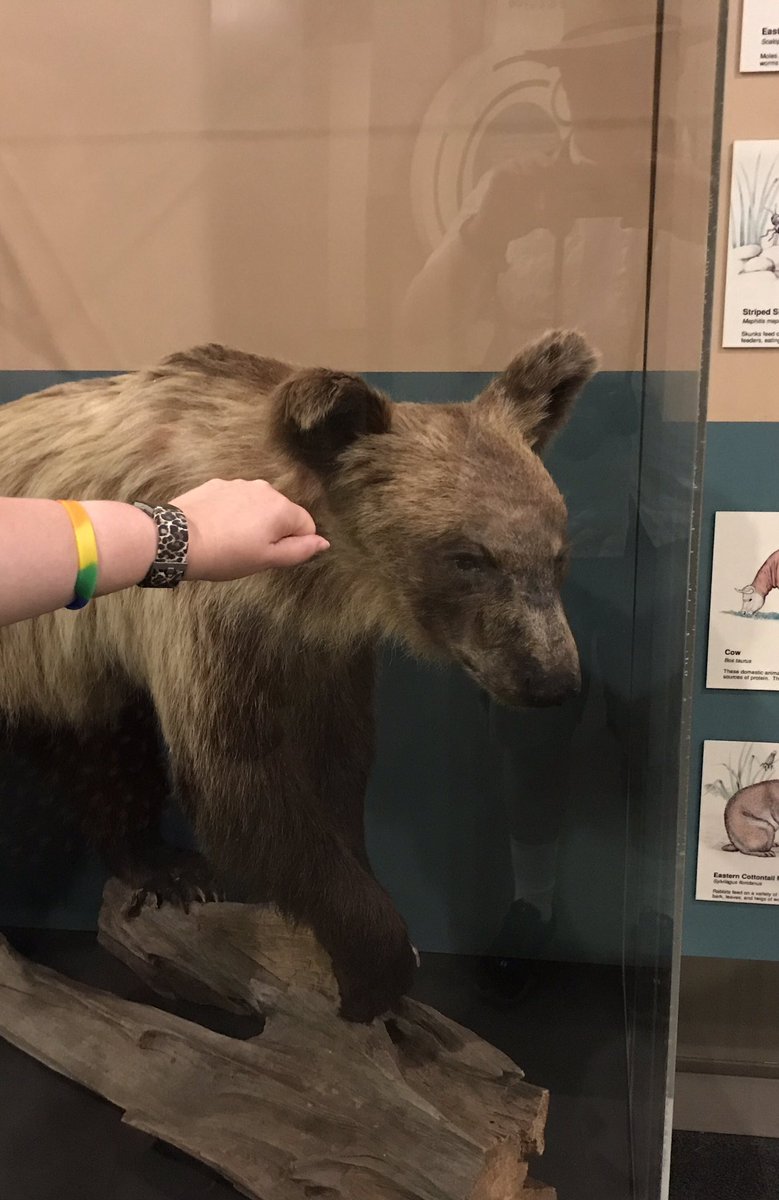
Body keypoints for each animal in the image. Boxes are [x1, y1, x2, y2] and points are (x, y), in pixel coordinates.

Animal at [0, 329, 597, 1022]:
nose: (553, 677)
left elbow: (335, 763)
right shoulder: (209, 621)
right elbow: (244, 786)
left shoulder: (319, 651)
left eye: (557, 554)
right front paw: (378, 965)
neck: (310, 583)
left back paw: (160, 864)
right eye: (468, 558)